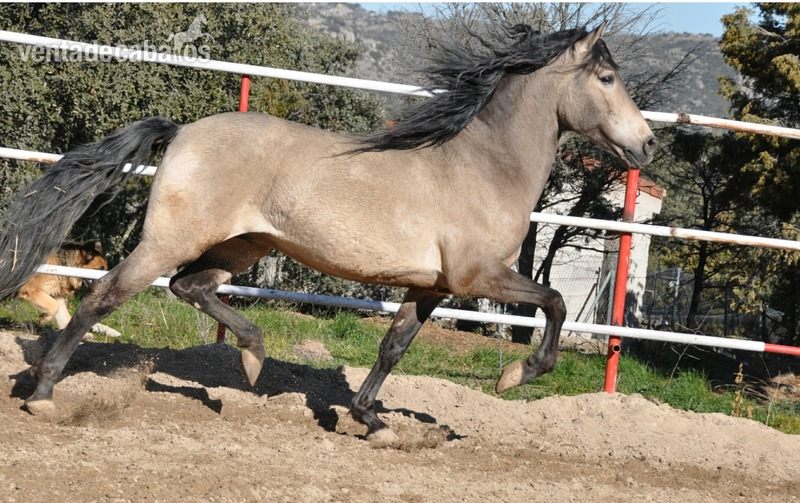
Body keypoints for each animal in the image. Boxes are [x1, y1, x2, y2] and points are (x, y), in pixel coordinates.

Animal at [0, 24, 655, 439]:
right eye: (605, 77)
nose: (647, 144)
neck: (485, 166)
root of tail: (183, 130)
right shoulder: (479, 277)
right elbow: (556, 300)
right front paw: (518, 375)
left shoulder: (431, 287)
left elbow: (393, 347)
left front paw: (371, 420)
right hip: (171, 240)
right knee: (105, 295)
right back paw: (42, 394)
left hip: (242, 246)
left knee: (192, 288)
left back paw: (252, 359)